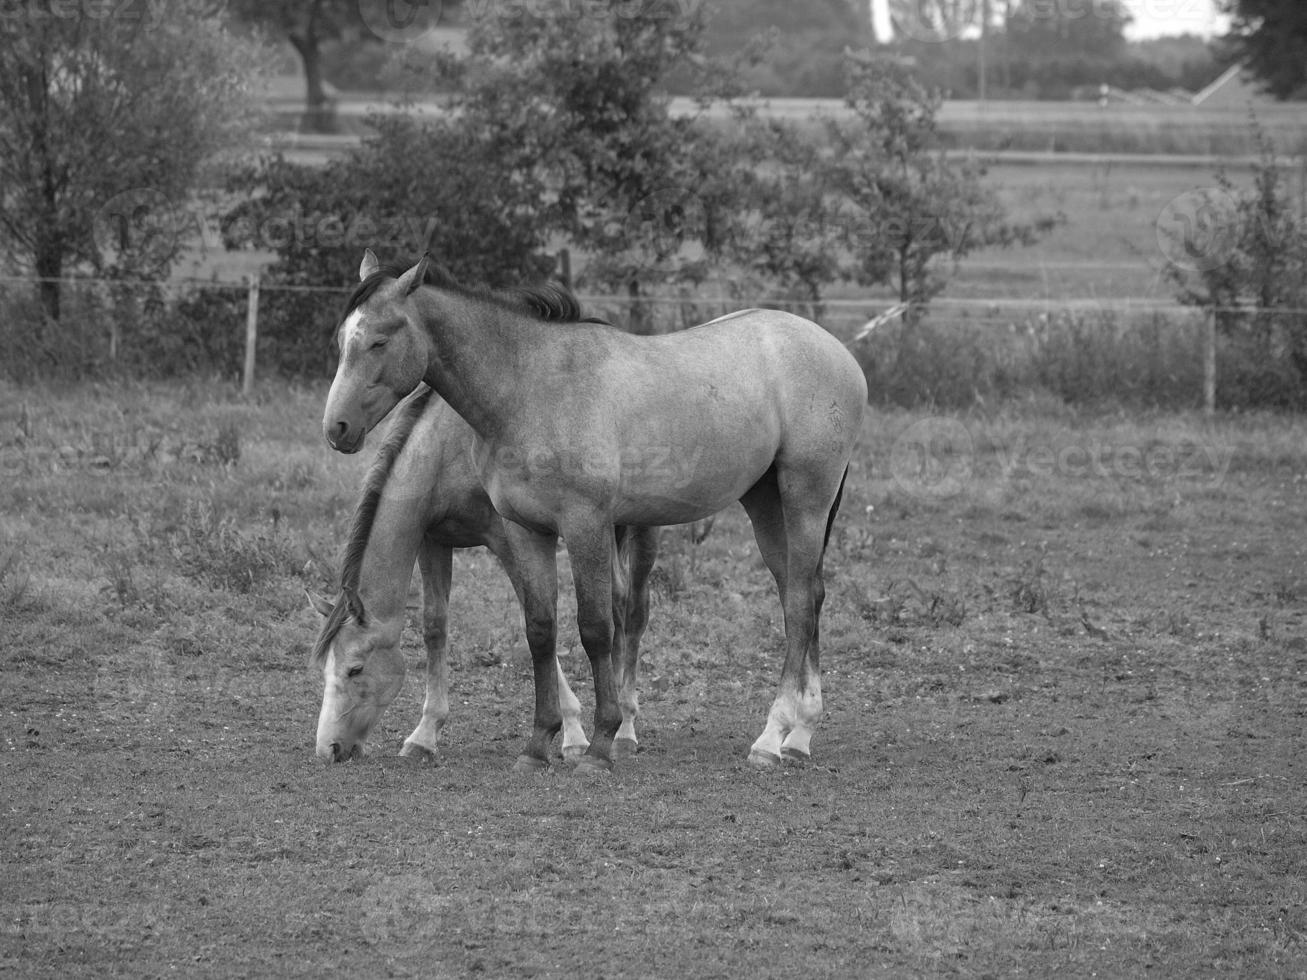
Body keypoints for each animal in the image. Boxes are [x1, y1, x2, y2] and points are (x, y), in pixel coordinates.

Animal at [304, 384, 653, 768]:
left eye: (355, 669)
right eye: (324, 670)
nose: (328, 748)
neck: (447, 448)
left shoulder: (507, 540)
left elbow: (538, 621)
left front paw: (574, 734)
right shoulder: (433, 539)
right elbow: (434, 627)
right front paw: (424, 735)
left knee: (634, 613)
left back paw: (625, 729)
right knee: (617, 604)